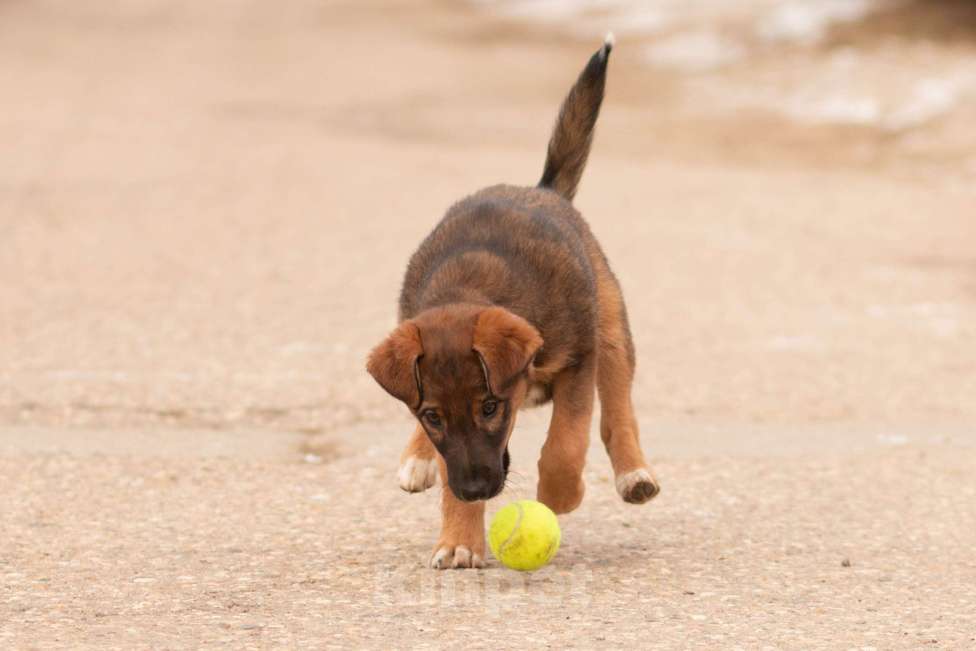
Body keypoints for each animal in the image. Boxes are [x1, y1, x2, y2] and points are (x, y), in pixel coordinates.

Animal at [370, 35, 660, 572]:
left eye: (490, 406)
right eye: (434, 416)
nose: (474, 490)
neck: (469, 289)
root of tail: (544, 189)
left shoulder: (579, 360)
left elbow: (566, 441)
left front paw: (561, 494)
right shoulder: (450, 439)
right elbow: (448, 461)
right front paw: (459, 537)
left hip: (611, 330)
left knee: (617, 412)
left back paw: (635, 474)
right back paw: (417, 460)